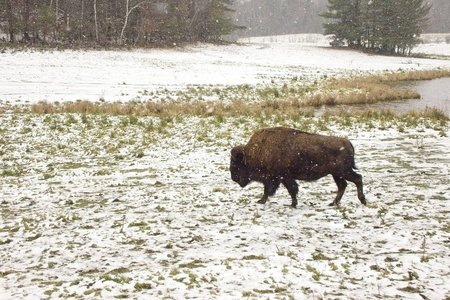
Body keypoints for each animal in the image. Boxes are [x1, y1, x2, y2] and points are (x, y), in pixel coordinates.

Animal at [230, 127, 368, 209]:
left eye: (235, 164)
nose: (233, 178)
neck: (251, 154)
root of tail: (347, 143)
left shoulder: (280, 177)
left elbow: (284, 190)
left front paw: (291, 204)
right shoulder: (280, 178)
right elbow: (283, 190)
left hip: (342, 172)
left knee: (357, 179)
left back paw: (362, 200)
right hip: (336, 174)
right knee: (343, 185)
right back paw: (332, 203)